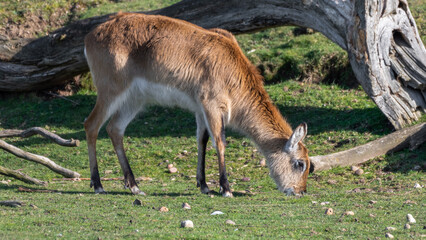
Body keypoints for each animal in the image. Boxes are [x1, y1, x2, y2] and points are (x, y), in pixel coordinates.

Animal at [84, 12, 310, 197]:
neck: (232, 68)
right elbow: (220, 142)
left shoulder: (200, 109)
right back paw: (98, 185)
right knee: (91, 124)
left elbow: (202, 140)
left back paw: (134, 186)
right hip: (110, 92)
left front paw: (204, 185)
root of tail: (92, 35)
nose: (300, 191)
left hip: (134, 100)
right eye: (300, 163)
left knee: (115, 129)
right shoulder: (212, 106)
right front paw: (226, 188)